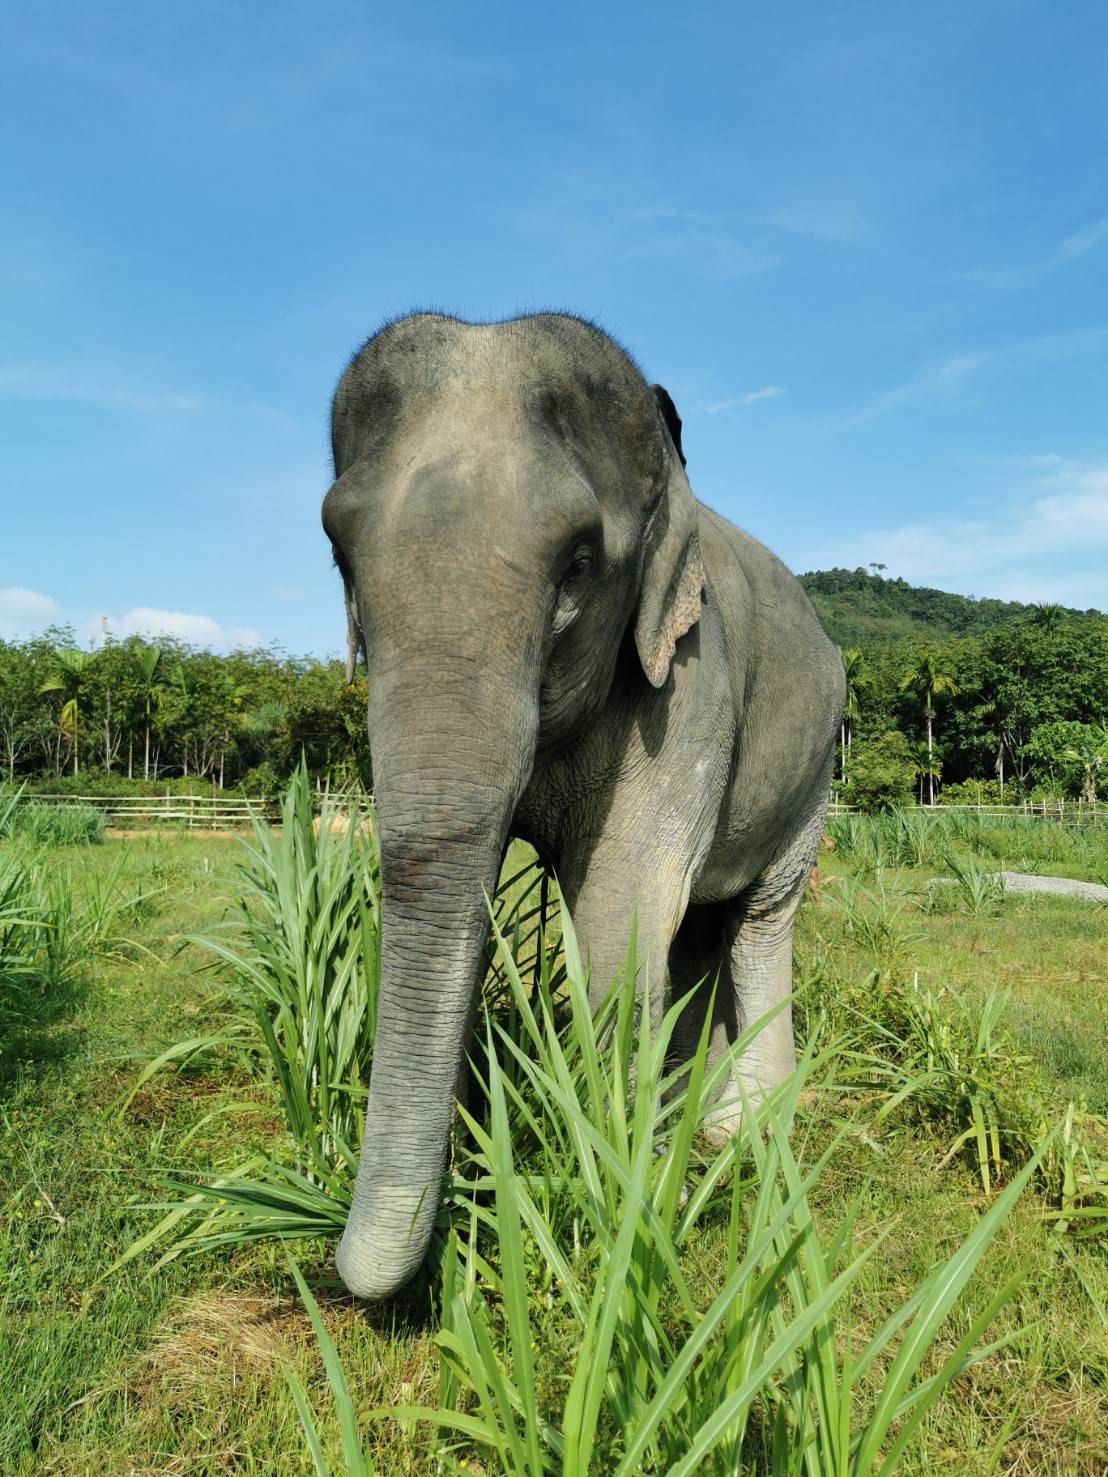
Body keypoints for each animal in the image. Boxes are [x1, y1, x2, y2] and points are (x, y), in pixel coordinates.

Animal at [325, 308, 845, 1293]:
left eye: (577, 563)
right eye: (337, 550)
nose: (346, 1277)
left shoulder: (690, 681)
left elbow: (617, 919)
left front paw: (627, 1194)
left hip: (816, 770)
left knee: (760, 920)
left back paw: (742, 1136)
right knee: (697, 931)